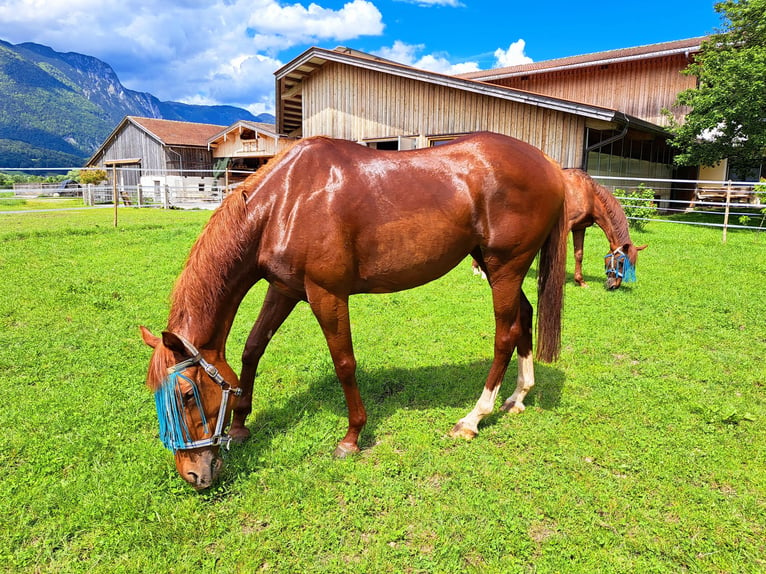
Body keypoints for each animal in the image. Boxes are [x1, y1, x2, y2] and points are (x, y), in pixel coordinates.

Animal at [141, 133, 568, 492]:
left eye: (187, 395)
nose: (193, 475)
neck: (284, 202)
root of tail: (548, 164)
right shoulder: (283, 290)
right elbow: (252, 349)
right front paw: (242, 424)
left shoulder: (327, 295)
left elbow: (344, 362)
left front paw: (351, 437)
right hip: (498, 268)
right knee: (524, 317)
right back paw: (519, 396)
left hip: (504, 267)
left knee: (504, 336)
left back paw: (473, 418)